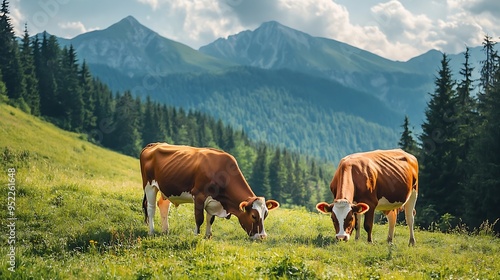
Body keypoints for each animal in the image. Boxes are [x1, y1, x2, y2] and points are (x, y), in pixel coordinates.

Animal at [140, 143, 282, 240]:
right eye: (253, 215)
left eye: (266, 214)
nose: (262, 236)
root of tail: (154, 144)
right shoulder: (199, 195)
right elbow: (199, 219)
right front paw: (196, 236)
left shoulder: (214, 201)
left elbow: (210, 219)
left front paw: (208, 236)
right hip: (149, 185)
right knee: (151, 208)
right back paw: (151, 232)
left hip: (167, 189)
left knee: (163, 205)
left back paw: (165, 231)